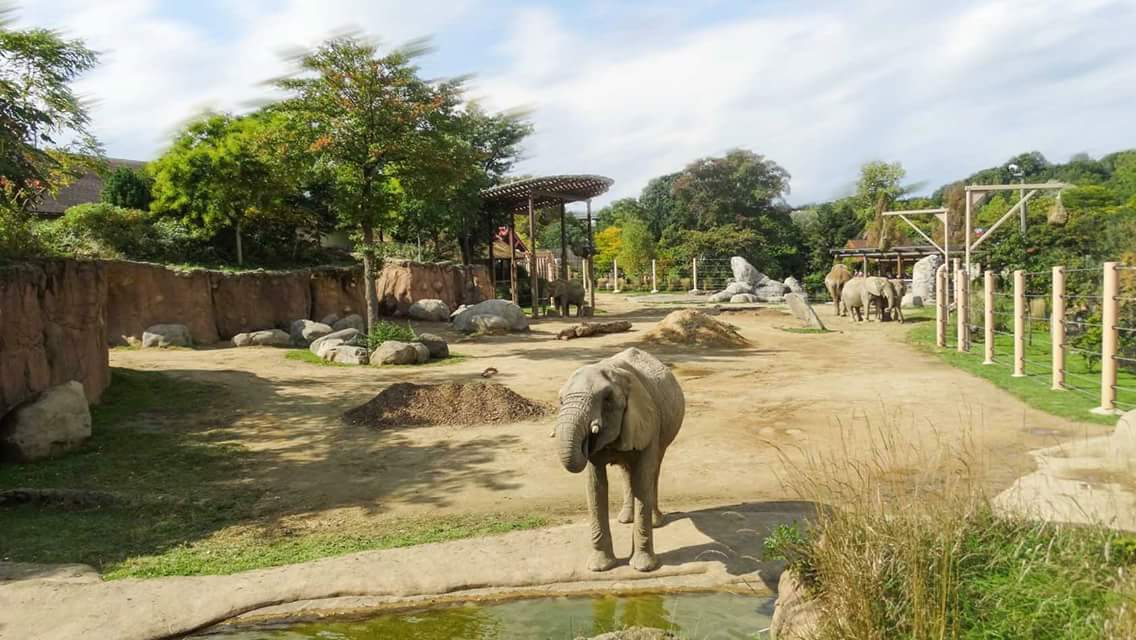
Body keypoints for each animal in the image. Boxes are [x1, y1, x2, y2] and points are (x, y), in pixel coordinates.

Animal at [554, 347, 685, 573]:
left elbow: (642, 481)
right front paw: (599, 568)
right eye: (561, 401)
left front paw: (644, 568)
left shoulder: (649, 422)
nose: (586, 440)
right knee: (626, 470)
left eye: (607, 399)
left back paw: (656, 522)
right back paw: (625, 520)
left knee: (654, 469)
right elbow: (595, 486)